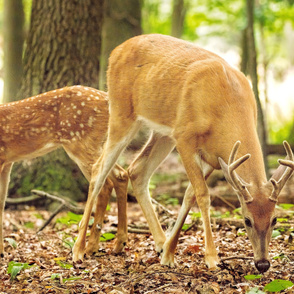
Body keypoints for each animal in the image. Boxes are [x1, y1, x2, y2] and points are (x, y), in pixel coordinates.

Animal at [0, 85, 129, 260]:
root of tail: (106, 98)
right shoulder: (7, 161)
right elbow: (2, 202)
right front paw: (1, 252)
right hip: (98, 143)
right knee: (121, 175)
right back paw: (114, 244)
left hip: (80, 142)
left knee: (103, 183)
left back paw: (79, 250)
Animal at [72, 33, 294, 272]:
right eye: (246, 220)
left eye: (274, 219)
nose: (262, 263)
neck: (225, 107)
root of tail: (116, 51)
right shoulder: (185, 137)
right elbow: (203, 195)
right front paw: (212, 257)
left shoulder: (214, 158)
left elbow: (189, 195)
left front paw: (169, 253)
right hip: (122, 113)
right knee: (99, 169)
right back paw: (79, 250)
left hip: (163, 133)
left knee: (137, 170)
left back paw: (158, 243)